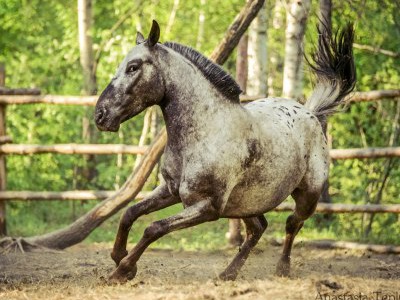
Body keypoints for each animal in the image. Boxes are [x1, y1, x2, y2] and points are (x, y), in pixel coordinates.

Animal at [95, 19, 354, 282]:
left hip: (307, 195)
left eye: (133, 67)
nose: (100, 115)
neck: (205, 132)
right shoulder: (170, 190)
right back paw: (228, 273)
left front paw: (123, 270)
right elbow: (129, 213)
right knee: (258, 228)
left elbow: (153, 228)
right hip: (246, 203)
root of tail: (311, 112)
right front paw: (118, 256)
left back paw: (282, 269)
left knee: (292, 223)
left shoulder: (207, 207)